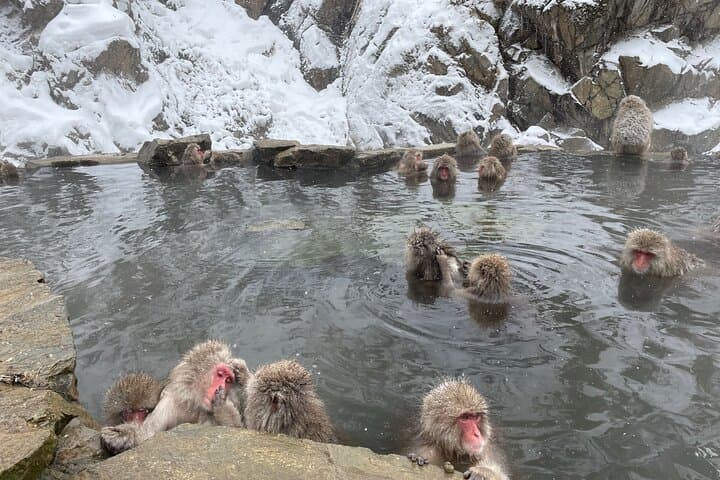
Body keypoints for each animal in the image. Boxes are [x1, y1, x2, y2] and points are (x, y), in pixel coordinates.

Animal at [100, 340, 251, 454]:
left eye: (228, 381)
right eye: (220, 374)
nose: (222, 387)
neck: (194, 404)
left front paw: (223, 408)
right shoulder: (169, 404)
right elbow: (148, 434)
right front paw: (123, 435)